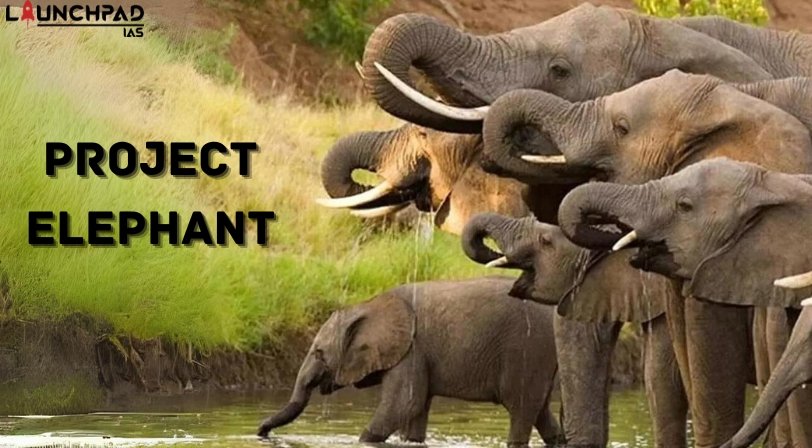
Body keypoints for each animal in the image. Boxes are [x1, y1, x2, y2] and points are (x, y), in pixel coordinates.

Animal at [256, 277, 564, 446]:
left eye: (319, 353)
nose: (260, 432)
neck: (369, 304)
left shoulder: (411, 350)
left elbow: (404, 403)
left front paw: (361, 441)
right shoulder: (416, 354)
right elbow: (414, 411)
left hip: (527, 350)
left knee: (521, 410)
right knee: (541, 411)